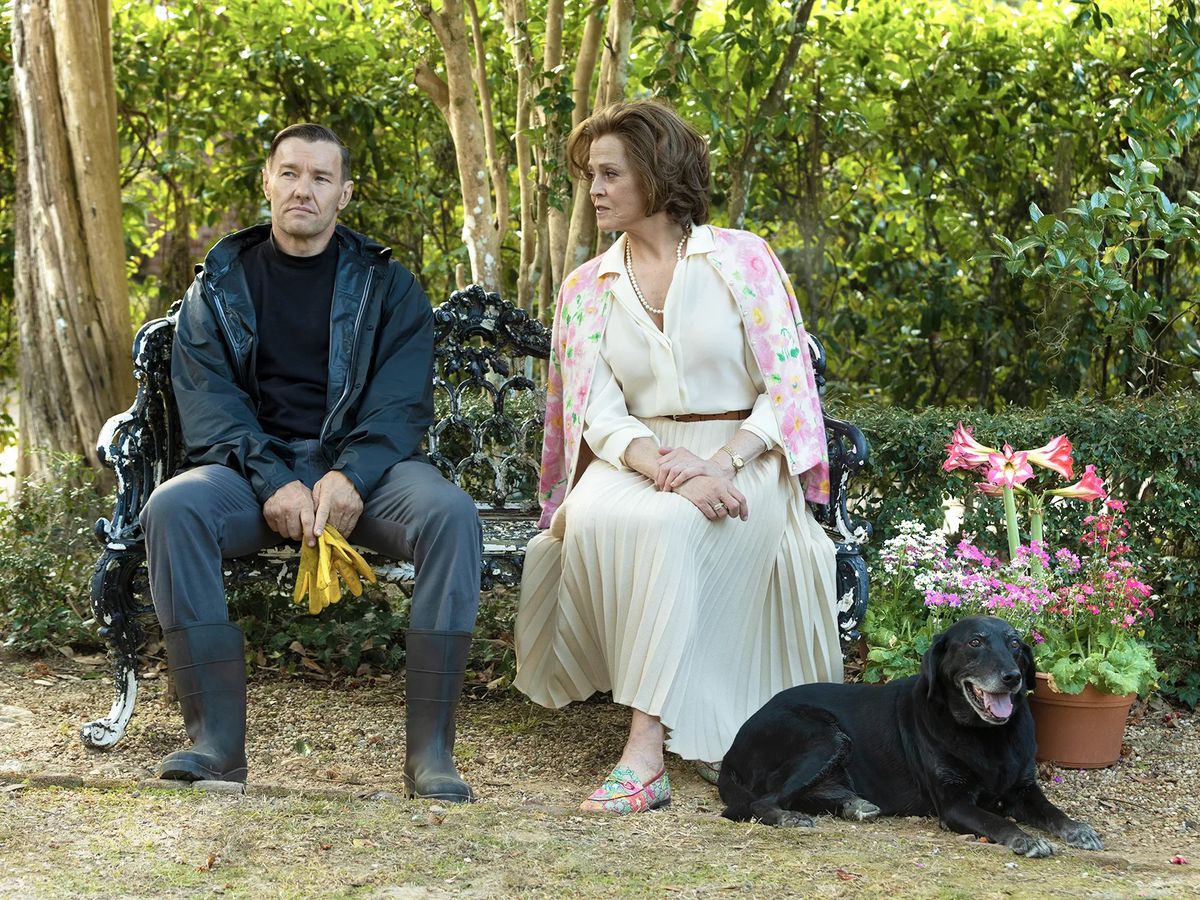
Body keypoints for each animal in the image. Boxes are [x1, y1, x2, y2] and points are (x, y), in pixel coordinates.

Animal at [715, 619, 1099, 859]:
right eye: (975, 642)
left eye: (1015, 644)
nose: (1012, 677)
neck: (986, 736)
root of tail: (733, 746)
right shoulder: (954, 804)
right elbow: (997, 820)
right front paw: (1024, 838)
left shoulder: (1023, 789)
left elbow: (1053, 811)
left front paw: (1078, 829)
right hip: (824, 737)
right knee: (760, 802)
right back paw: (789, 817)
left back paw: (854, 805)